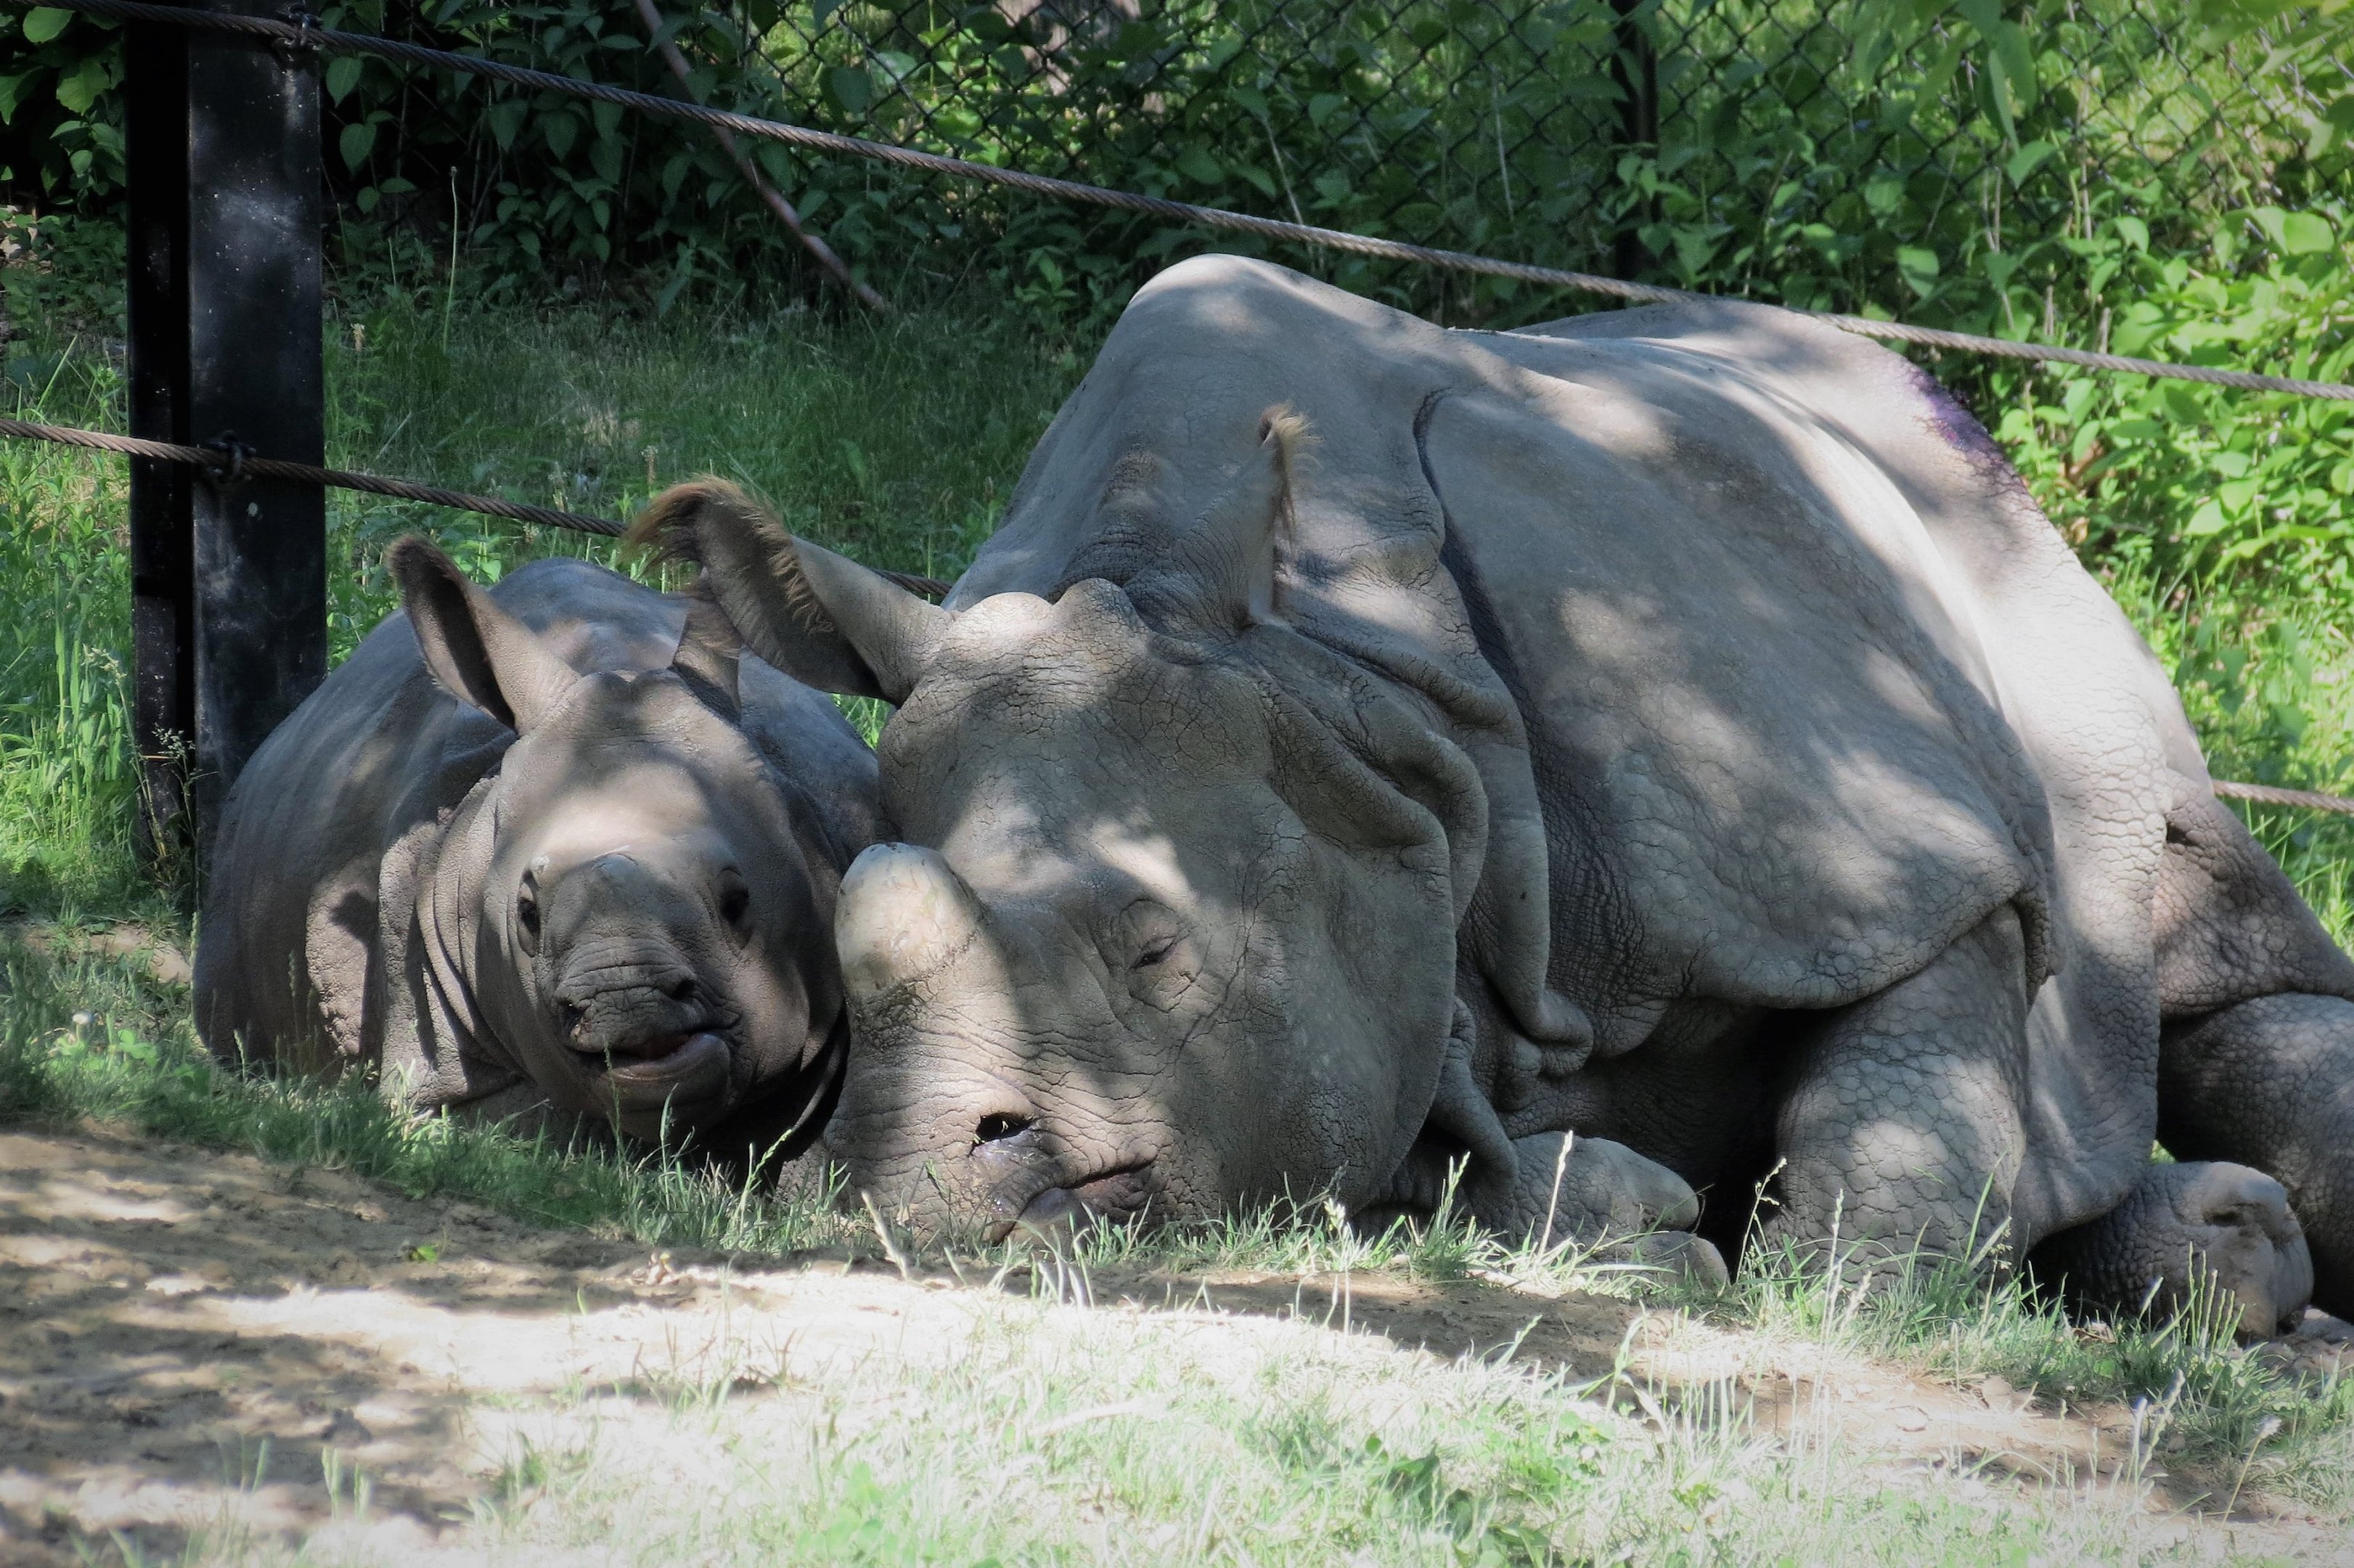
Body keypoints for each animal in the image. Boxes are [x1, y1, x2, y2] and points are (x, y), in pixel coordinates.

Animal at [649, 257, 2354, 1329]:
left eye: (1155, 953)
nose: (912, 1183)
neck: (1371, 711)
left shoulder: (1879, 851)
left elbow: (1917, 1050)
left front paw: (1851, 1292)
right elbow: (1440, 1150)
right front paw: (1643, 1228)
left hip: (2036, 616)